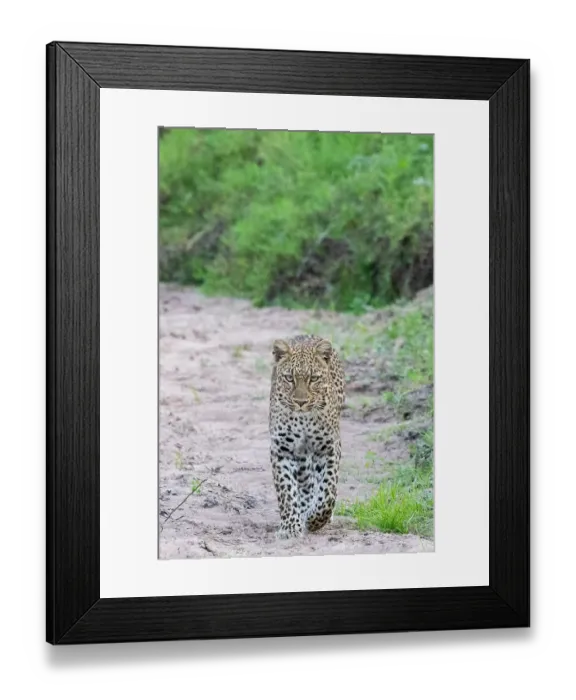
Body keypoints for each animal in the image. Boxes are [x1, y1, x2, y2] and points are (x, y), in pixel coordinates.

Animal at [268, 334, 345, 539]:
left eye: (314, 379)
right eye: (289, 378)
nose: (300, 402)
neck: (303, 419)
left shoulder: (329, 448)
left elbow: (328, 491)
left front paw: (315, 520)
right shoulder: (282, 450)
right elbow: (287, 491)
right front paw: (290, 527)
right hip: (301, 455)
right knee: (305, 482)